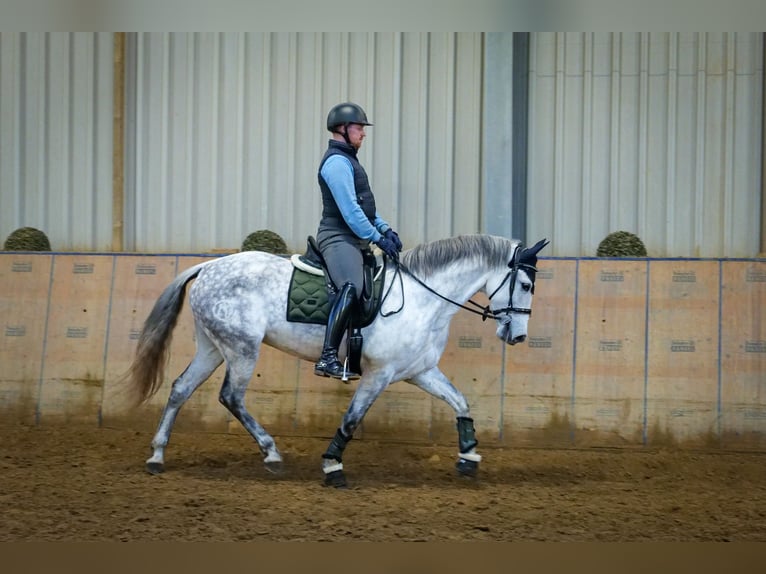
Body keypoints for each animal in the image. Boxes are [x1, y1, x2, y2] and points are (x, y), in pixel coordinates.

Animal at [123, 236, 548, 488]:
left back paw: (157, 456)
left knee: (180, 388)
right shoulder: (379, 375)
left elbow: (460, 402)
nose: (518, 336)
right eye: (526, 285)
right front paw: (332, 465)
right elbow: (351, 419)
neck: (423, 298)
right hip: (242, 348)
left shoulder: (420, 371)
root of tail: (207, 267)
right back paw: (271, 454)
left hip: (212, 347)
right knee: (231, 396)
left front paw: (469, 456)